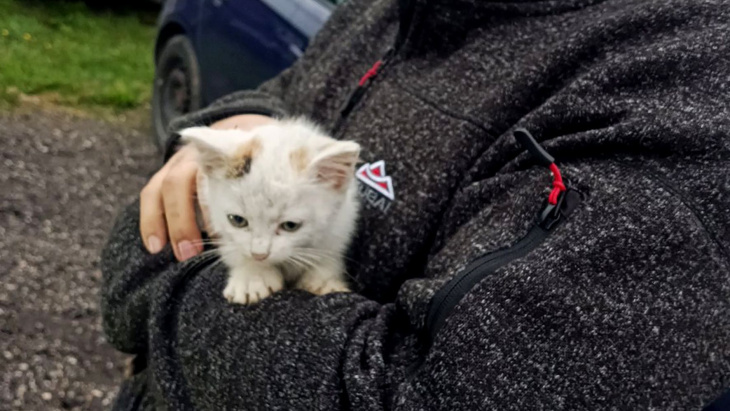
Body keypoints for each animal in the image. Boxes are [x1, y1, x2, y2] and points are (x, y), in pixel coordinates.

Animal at [177, 119, 358, 306]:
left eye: (290, 225)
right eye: (237, 220)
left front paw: (323, 281)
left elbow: (329, 249)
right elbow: (233, 246)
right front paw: (252, 277)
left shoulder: (343, 219)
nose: (259, 255)